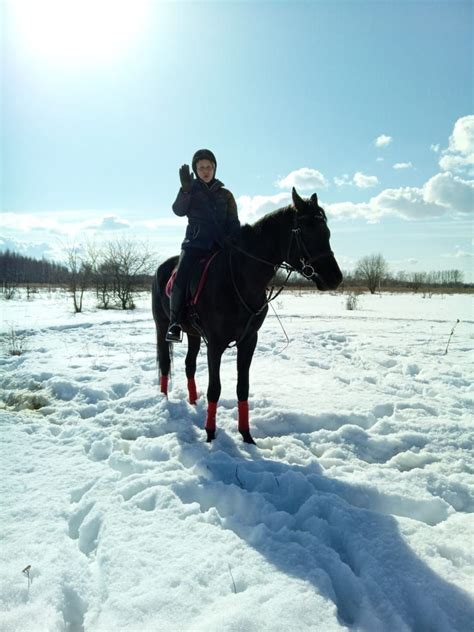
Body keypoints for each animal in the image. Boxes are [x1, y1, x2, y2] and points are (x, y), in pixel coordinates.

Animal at [154, 188, 342, 444]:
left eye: (327, 232)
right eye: (306, 231)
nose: (335, 277)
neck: (239, 278)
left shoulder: (249, 340)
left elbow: (242, 387)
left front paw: (246, 435)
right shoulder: (215, 344)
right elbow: (215, 388)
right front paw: (210, 434)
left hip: (193, 334)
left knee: (189, 365)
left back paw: (193, 402)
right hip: (162, 326)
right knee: (165, 362)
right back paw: (164, 401)